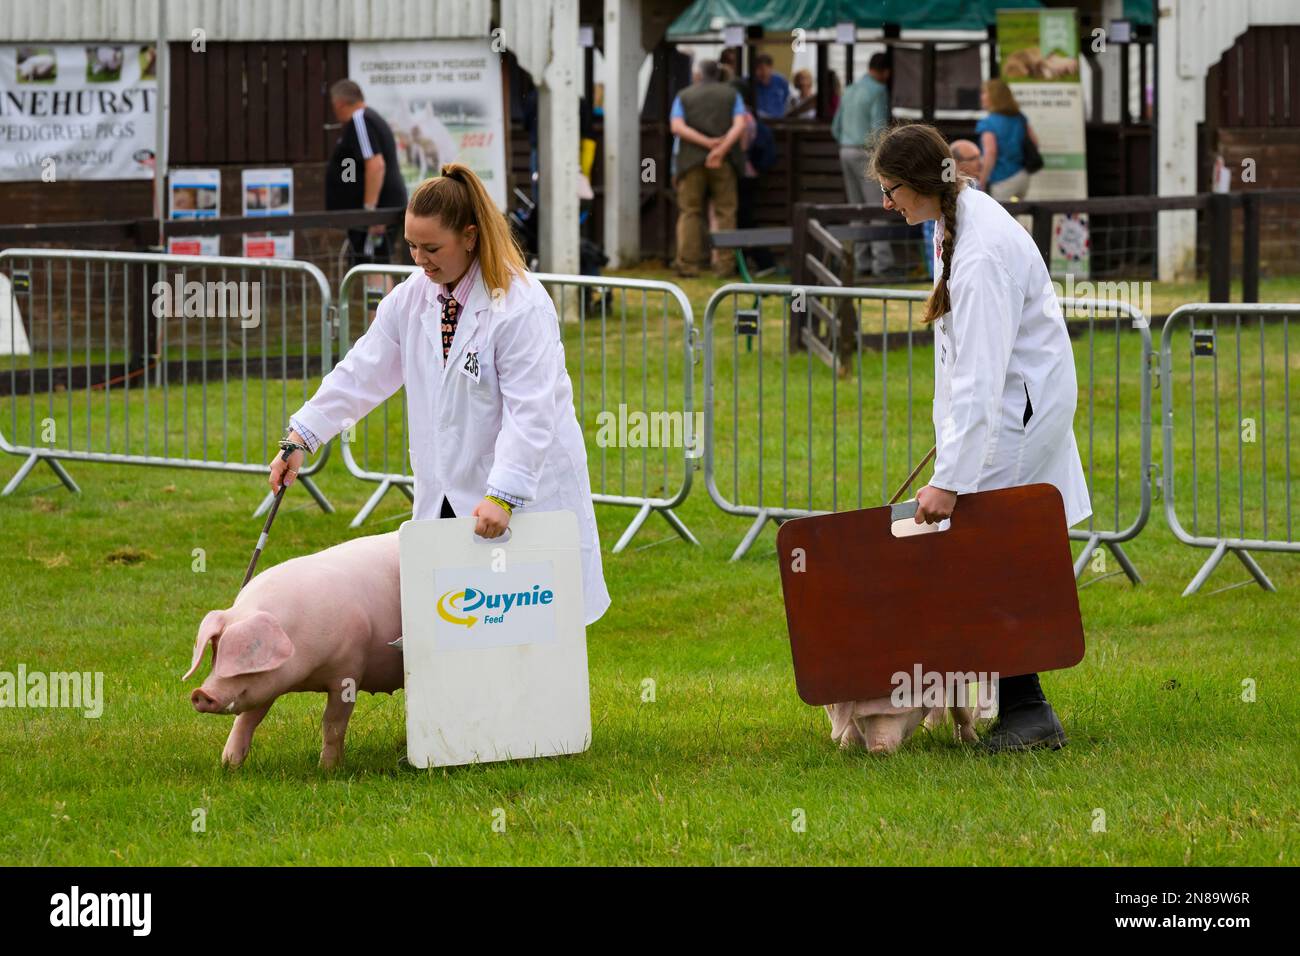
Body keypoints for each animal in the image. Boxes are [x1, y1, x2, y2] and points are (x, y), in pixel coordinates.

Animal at [180, 530, 397, 770]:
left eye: (249, 650)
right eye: (215, 650)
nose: (201, 693)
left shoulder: (349, 670)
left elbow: (333, 723)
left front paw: (328, 770)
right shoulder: (265, 684)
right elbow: (247, 719)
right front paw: (229, 765)